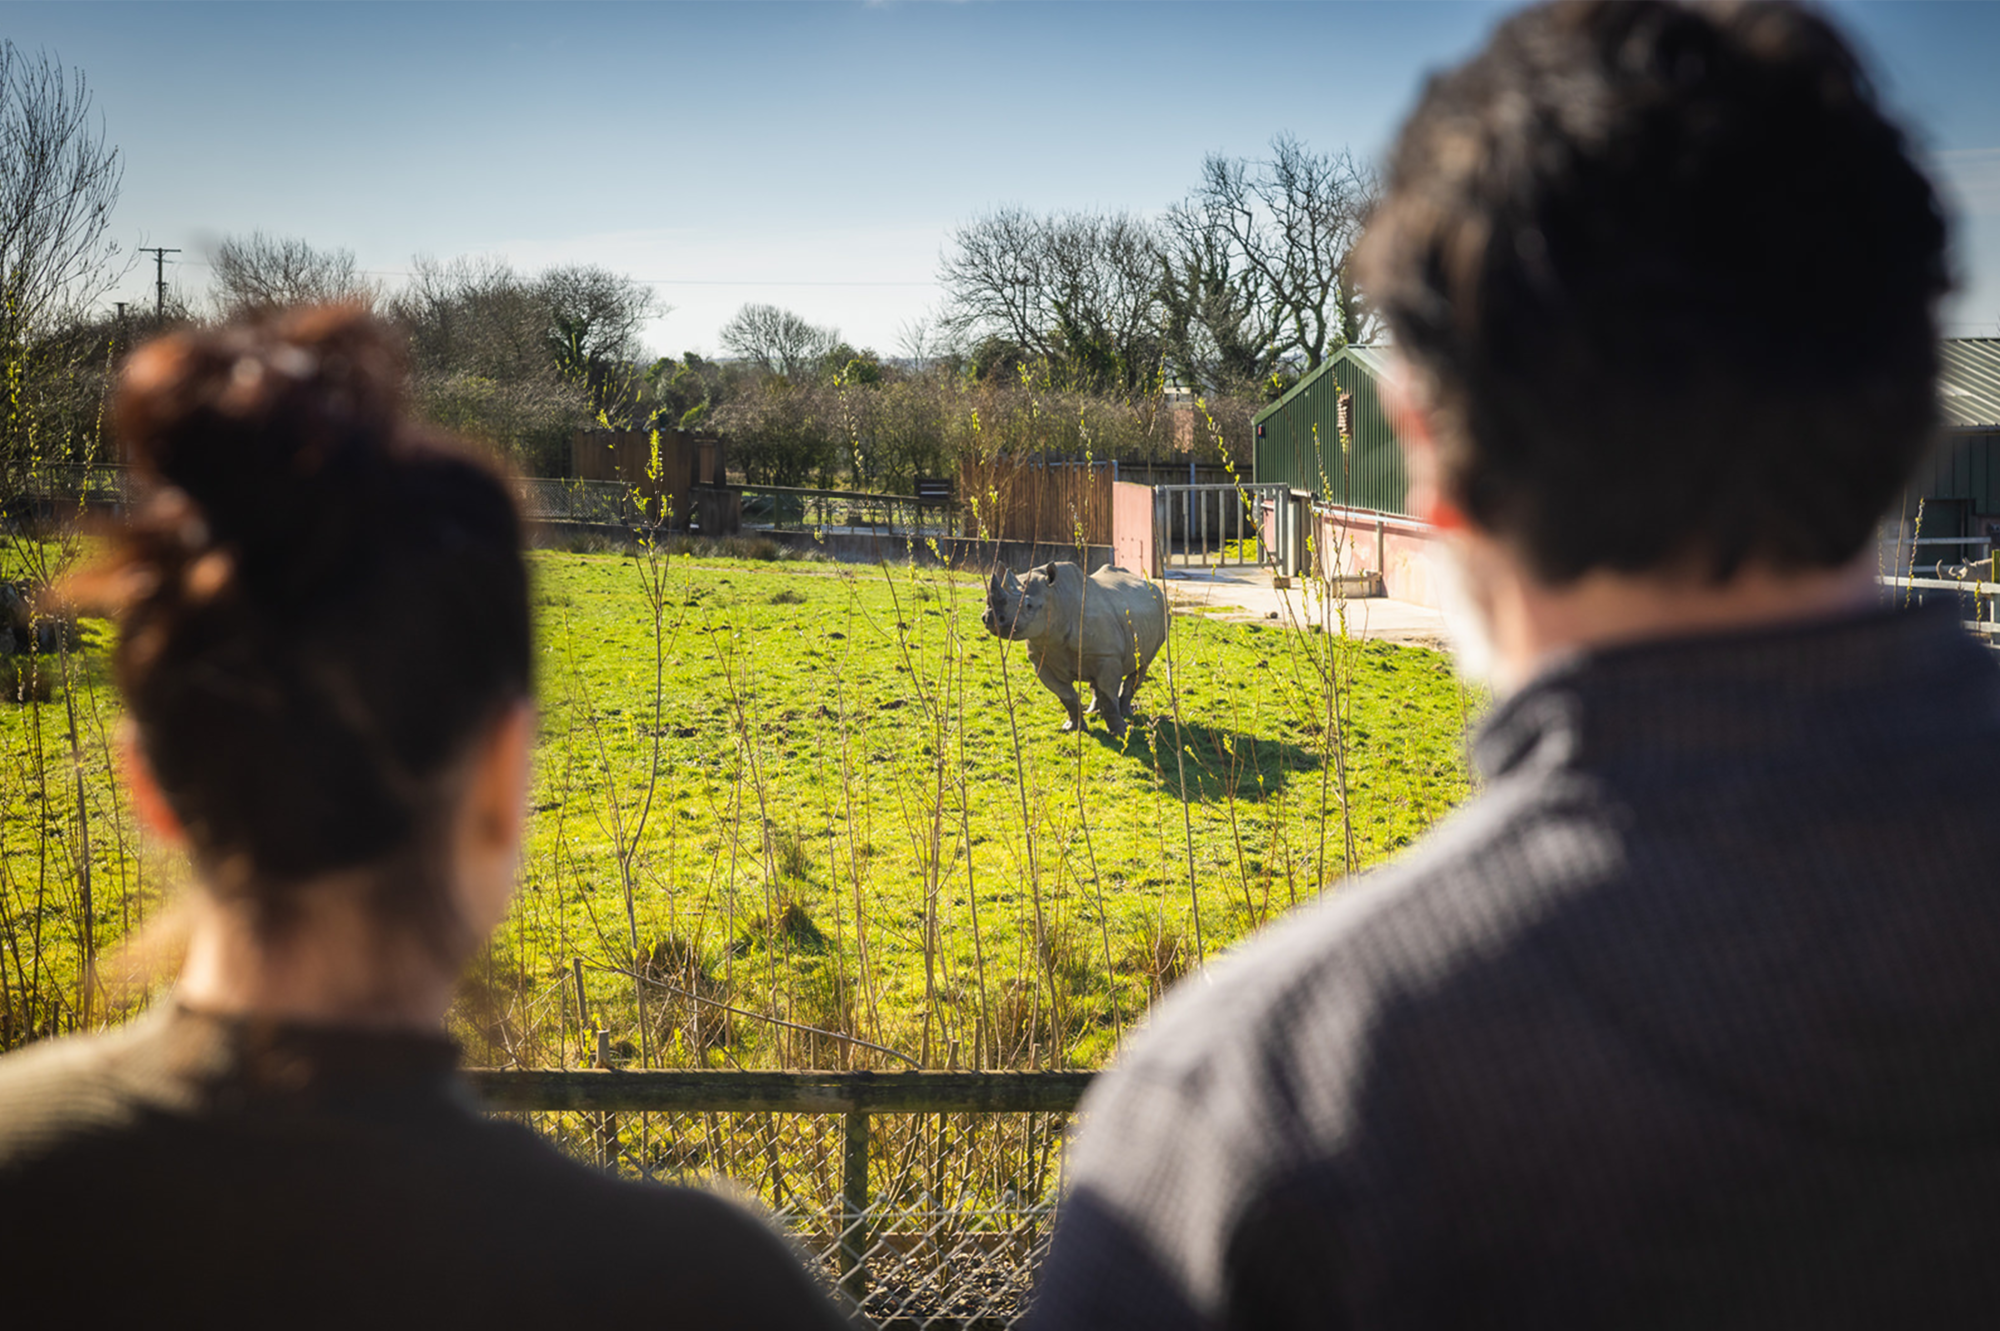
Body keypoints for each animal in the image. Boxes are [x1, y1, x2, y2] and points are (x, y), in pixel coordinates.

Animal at [976, 559, 1168, 735]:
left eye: (1029, 606)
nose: (991, 618)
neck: (1056, 598)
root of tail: (1153, 585)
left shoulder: (1107, 655)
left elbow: (1108, 696)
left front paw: (1122, 732)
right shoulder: (1041, 660)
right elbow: (1066, 696)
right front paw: (1072, 728)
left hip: (1161, 611)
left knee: (1141, 665)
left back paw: (1127, 714)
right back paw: (1093, 711)